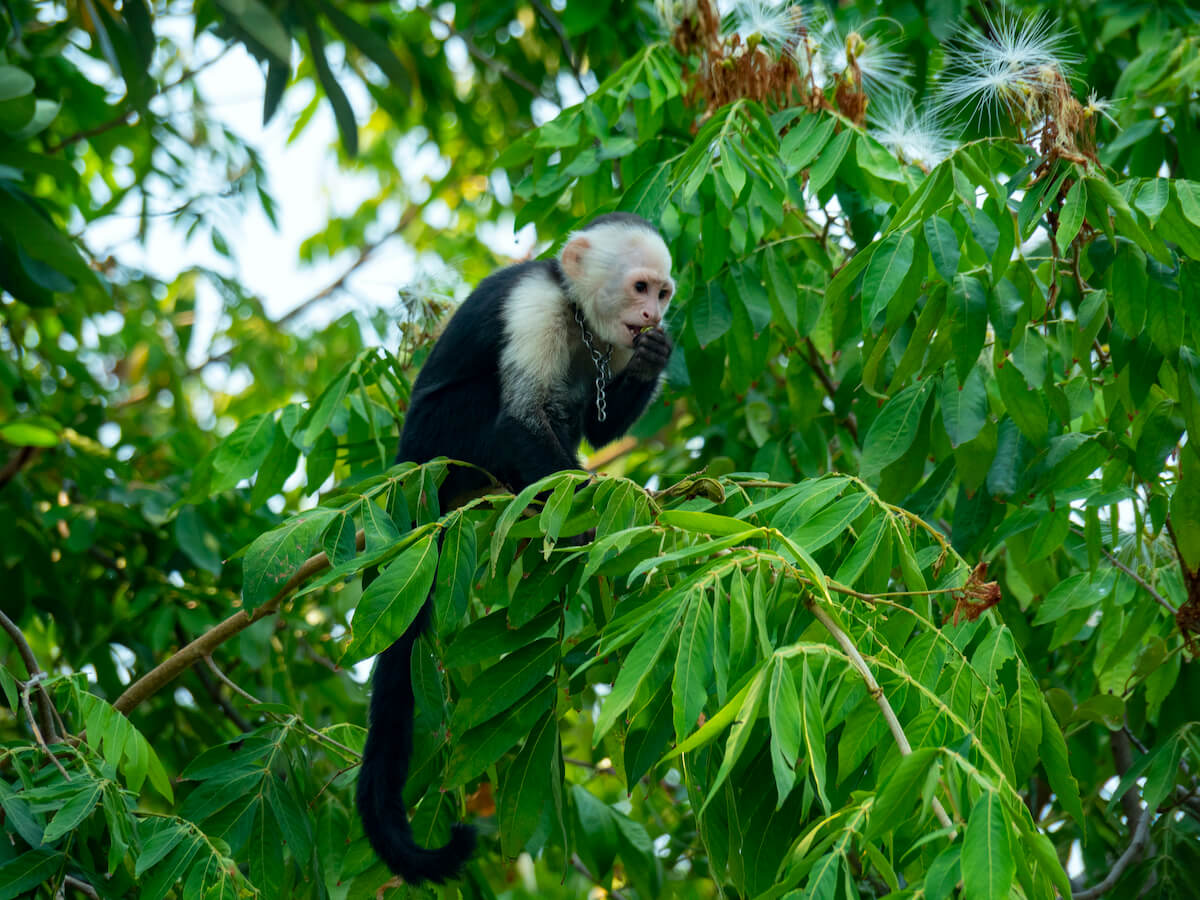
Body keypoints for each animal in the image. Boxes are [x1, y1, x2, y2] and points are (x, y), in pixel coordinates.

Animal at [352, 213, 676, 888]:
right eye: (639, 287)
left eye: (662, 294)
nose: (652, 315)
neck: (576, 309)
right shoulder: (534, 307)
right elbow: (520, 421)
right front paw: (601, 513)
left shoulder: (611, 343)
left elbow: (601, 424)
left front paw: (652, 361)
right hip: (436, 442)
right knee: (502, 409)